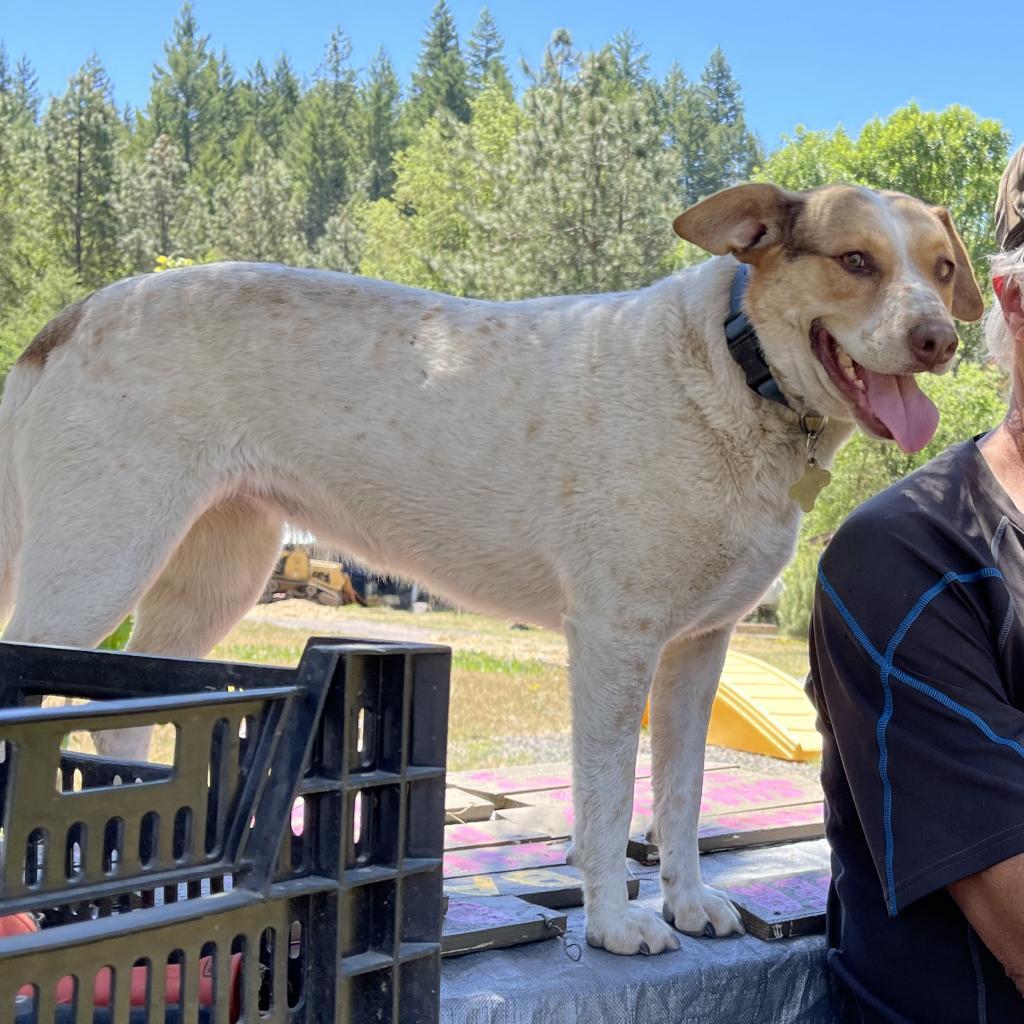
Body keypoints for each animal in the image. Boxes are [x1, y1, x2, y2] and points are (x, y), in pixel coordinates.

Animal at [0, 182, 978, 950]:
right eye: (855, 261)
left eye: (939, 268)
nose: (940, 341)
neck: (739, 371)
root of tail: (73, 314)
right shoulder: (615, 642)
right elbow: (608, 800)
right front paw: (613, 924)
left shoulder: (698, 653)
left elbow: (683, 796)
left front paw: (690, 901)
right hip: (95, 564)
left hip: (213, 573)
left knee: (132, 718)